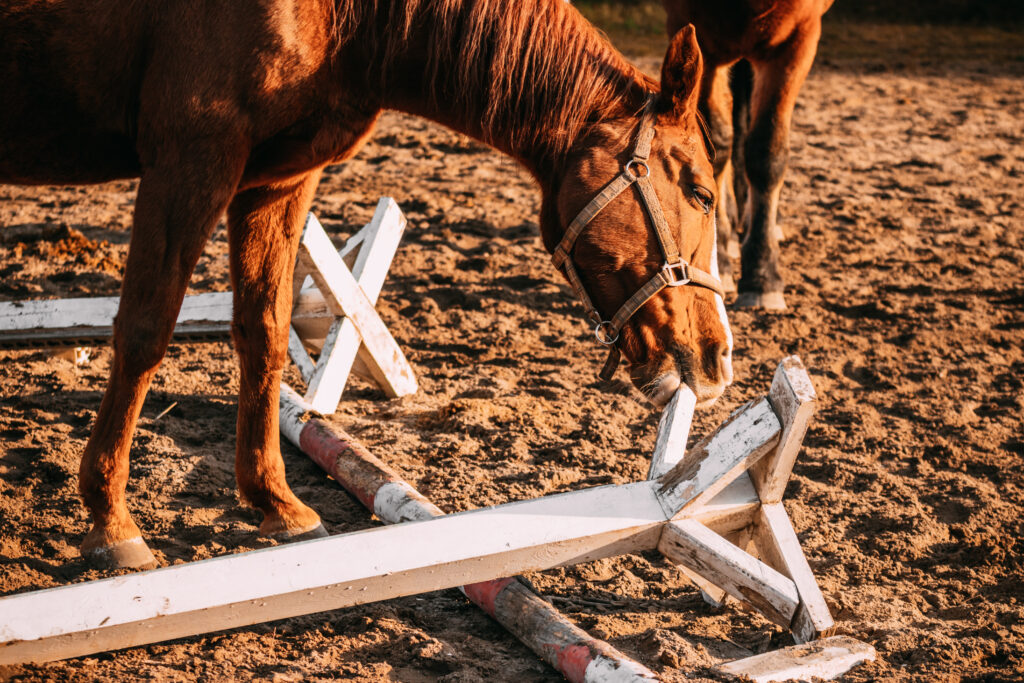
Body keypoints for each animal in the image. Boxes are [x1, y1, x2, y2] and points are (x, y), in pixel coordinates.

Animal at [4, 0, 733, 569]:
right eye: (700, 190)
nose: (717, 358)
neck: (345, 18)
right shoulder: (189, 163)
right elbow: (145, 332)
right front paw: (110, 520)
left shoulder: (276, 182)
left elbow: (264, 333)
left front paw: (275, 501)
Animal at [667, 0, 835, 307]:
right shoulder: (700, 39)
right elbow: (716, 144)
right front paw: (719, 258)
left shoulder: (796, 40)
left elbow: (767, 151)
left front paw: (762, 274)